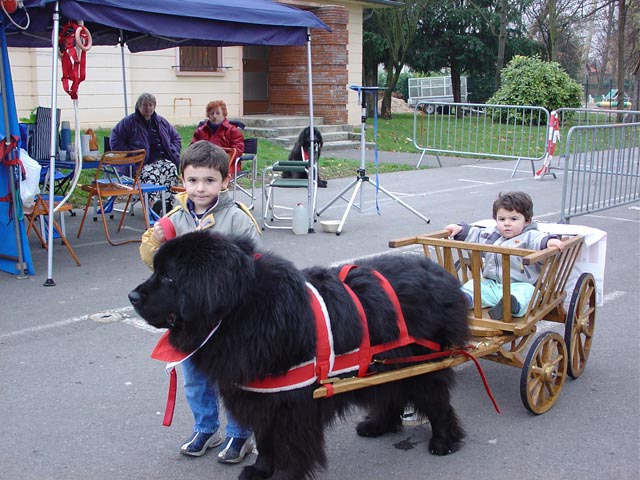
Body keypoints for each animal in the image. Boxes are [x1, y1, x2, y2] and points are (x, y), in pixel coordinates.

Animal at [129, 231, 470, 478]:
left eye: (169, 277)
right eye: (155, 270)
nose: (132, 296)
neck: (242, 310)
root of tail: (440, 272)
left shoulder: (293, 404)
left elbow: (291, 448)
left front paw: (284, 476)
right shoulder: (261, 396)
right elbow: (265, 441)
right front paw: (260, 470)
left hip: (421, 365)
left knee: (437, 403)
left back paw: (443, 441)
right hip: (386, 362)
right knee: (390, 393)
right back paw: (378, 425)